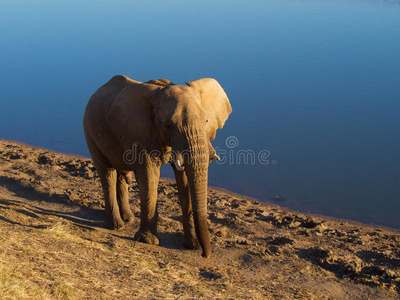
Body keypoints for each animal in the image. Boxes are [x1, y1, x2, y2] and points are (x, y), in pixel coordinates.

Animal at [83, 75, 233, 258]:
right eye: (168, 125)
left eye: (206, 121)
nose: (205, 255)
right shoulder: (141, 135)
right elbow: (150, 176)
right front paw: (148, 241)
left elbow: (184, 179)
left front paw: (192, 246)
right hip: (90, 131)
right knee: (107, 174)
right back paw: (116, 226)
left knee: (120, 175)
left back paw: (128, 219)